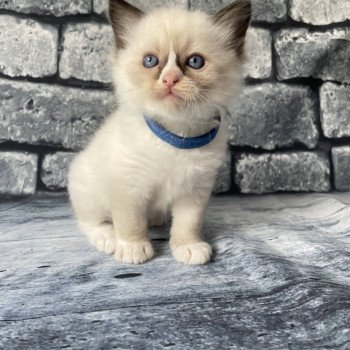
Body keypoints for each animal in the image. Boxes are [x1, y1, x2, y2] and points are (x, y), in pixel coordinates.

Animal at [67, 0, 250, 264]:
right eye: (151, 61)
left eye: (195, 62)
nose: (170, 79)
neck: (176, 135)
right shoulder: (128, 185)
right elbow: (131, 221)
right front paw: (134, 250)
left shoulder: (195, 190)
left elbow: (188, 224)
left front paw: (189, 248)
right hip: (88, 189)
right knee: (89, 221)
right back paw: (108, 238)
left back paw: (155, 219)